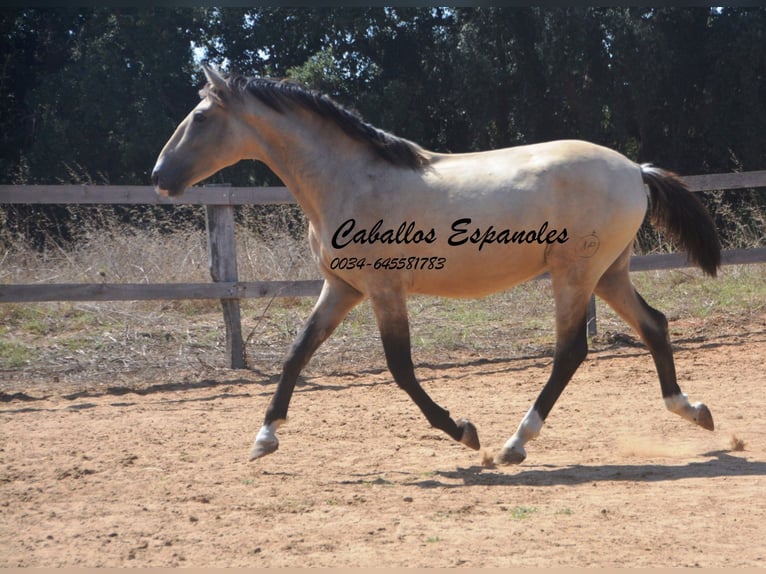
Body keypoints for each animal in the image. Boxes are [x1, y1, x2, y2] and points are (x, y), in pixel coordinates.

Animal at [152, 65, 720, 466]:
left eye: (200, 117)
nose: (159, 176)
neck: (351, 179)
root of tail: (634, 169)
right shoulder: (341, 288)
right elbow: (296, 354)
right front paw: (264, 437)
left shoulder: (383, 290)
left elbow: (401, 369)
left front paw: (463, 432)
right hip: (608, 274)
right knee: (654, 325)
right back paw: (694, 411)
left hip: (576, 275)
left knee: (570, 352)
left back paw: (513, 444)